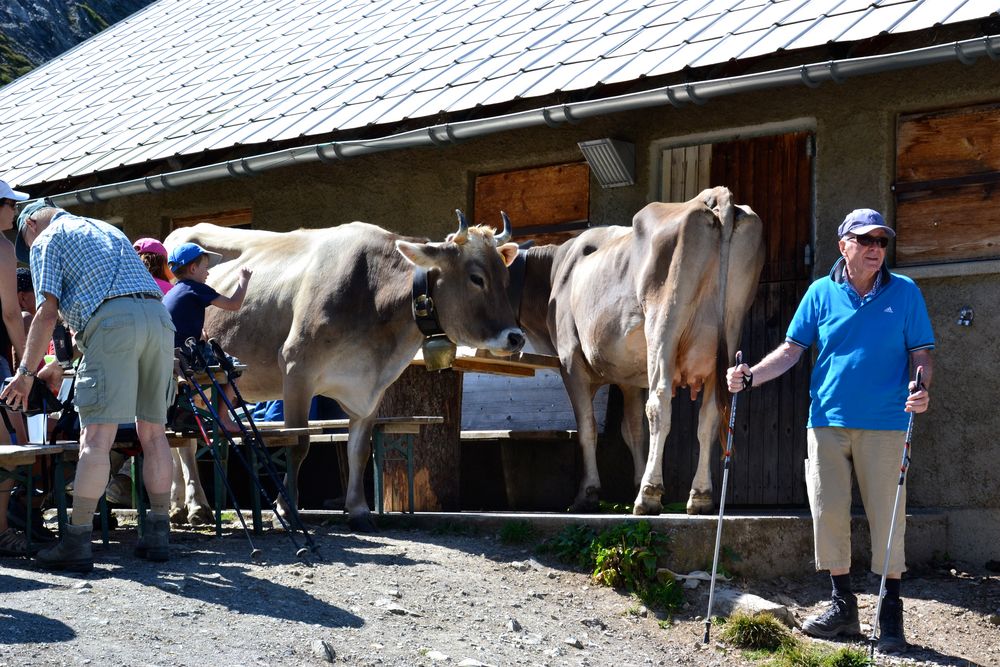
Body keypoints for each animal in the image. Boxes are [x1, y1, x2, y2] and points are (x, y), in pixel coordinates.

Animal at [163, 217, 524, 536]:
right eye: (476, 278)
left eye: (506, 278)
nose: (516, 338)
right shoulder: (296, 367)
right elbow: (299, 444)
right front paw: (287, 509)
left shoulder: (372, 387)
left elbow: (359, 450)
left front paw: (359, 511)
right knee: (180, 442)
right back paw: (194, 507)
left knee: (181, 441)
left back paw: (182, 507)